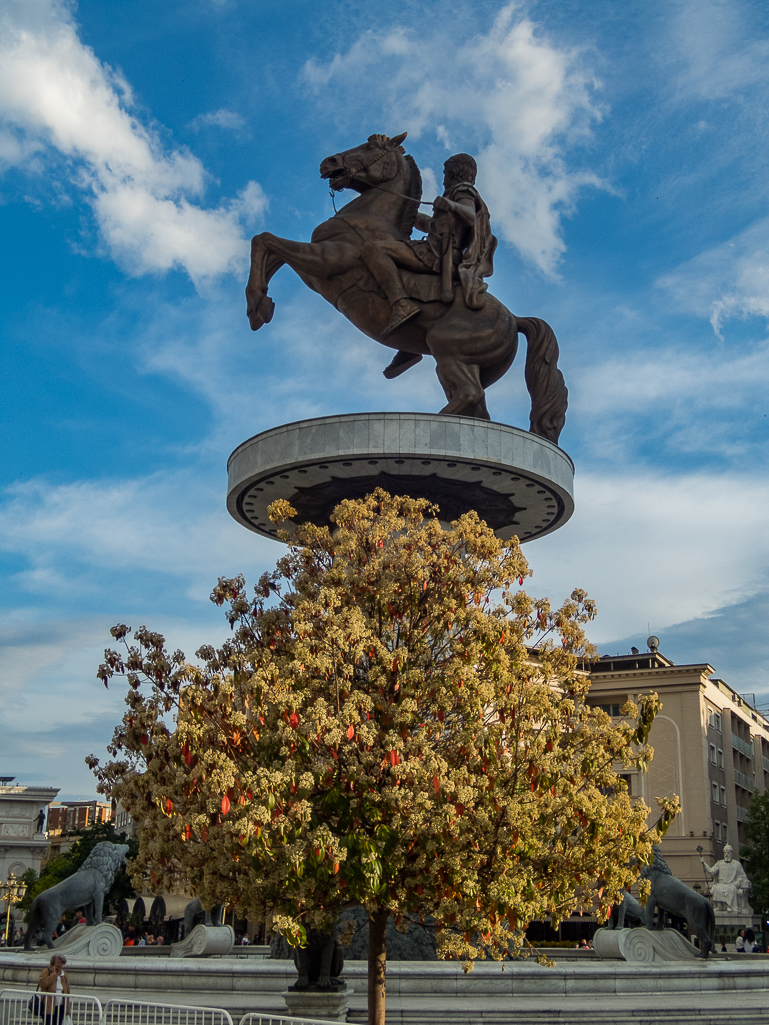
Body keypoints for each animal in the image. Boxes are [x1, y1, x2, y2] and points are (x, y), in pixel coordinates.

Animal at [244, 132, 570, 440]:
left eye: (370, 147)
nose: (329, 162)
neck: (366, 221)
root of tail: (514, 319)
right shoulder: (312, 267)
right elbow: (270, 253)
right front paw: (261, 303)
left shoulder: (325, 260)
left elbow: (265, 240)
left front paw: (256, 306)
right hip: (468, 365)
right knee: (477, 407)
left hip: (446, 350)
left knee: (470, 393)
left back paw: (428, 424)